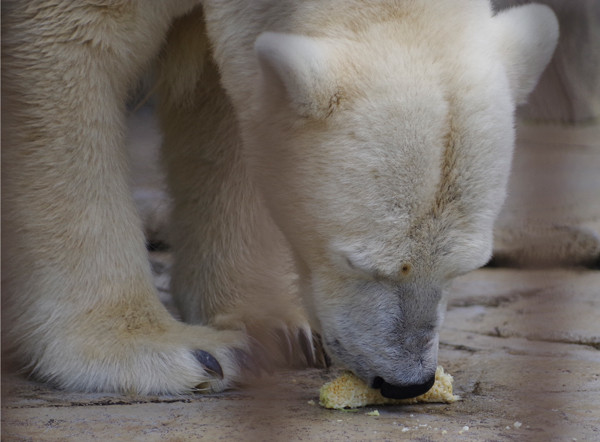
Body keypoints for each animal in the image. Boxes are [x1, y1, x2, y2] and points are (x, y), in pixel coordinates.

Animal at [2, 0, 556, 398]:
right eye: (358, 263)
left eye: (465, 268)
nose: (406, 383)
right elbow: (69, 63)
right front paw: (164, 350)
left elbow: (227, 100)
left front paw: (275, 328)